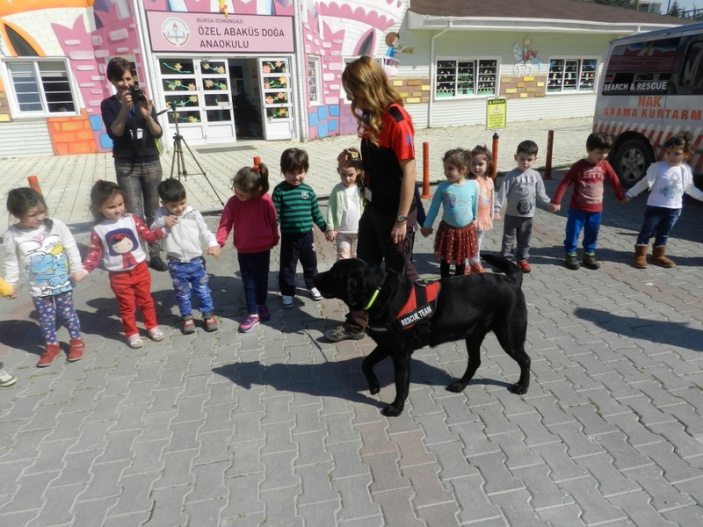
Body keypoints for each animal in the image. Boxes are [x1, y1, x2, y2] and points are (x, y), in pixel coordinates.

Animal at [316, 255, 532, 416]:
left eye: (333, 274)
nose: (315, 277)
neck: (381, 293)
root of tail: (512, 280)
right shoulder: (386, 345)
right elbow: (365, 363)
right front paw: (374, 386)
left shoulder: (401, 354)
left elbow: (401, 385)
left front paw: (396, 408)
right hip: (474, 335)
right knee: (475, 362)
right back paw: (460, 384)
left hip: (509, 335)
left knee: (525, 360)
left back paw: (522, 386)